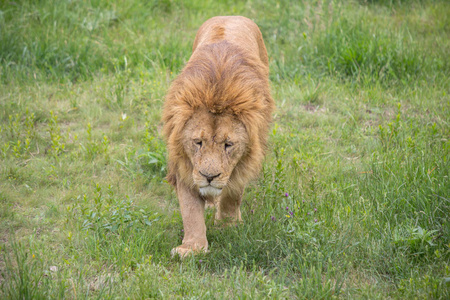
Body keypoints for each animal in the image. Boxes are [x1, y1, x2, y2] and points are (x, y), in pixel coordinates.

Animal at [162, 15, 274, 256]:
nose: (209, 176)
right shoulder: (185, 163)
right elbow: (190, 209)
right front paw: (192, 248)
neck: (217, 91)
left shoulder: (242, 162)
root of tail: (230, 15)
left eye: (228, 144)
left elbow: (233, 194)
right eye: (198, 142)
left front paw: (228, 225)